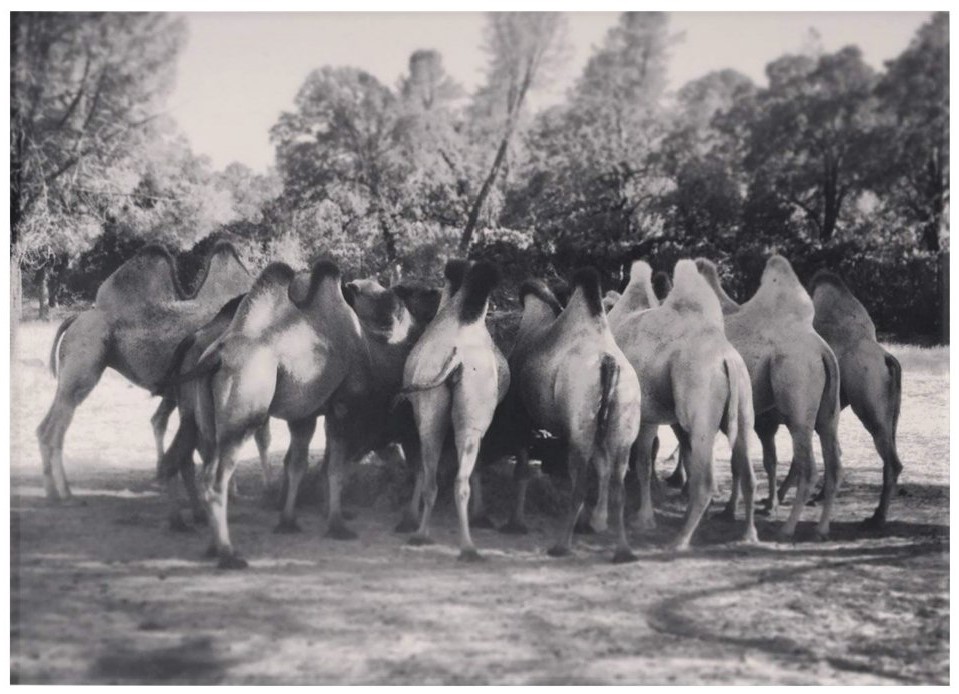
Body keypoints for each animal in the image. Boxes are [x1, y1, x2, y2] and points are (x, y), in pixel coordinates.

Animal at [38, 242, 255, 502]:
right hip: (82, 369)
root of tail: (75, 318)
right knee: (54, 429)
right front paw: (229, 491)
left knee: (44, 428)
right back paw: (65, 492)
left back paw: (52, 491)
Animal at [402, 260, 512, 560]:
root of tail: (458, 359)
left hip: (432, 415)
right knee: (459, 477)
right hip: (470, 418)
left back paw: (425, 536)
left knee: (434, 476)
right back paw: (466, 546)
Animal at [512, 270, 640, 564]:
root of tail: (608, 363)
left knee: (579, 483)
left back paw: (561, 545)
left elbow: (522, 467)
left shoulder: (524, 416)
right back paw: (623, 551)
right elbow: (602, 469)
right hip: (622, 424)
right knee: (617, 483)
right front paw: (595, 523)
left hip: (580, 427)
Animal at [612, 258, 760, 552]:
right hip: (742, 404)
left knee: (705, 479)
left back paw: (679, 540)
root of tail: (727, 359)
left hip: (700, 401)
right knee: (746, 470)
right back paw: (748, 535)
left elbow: (643, 462)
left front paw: (643, 519)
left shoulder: (645, 414)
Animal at [692, 258, 844, 540]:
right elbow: (736, 462)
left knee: (809, 467)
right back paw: (821, 529)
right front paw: (727, 511)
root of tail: (822, 351)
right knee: (834, 464)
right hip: (829, 414)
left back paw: (788, 528)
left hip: (798, 394)